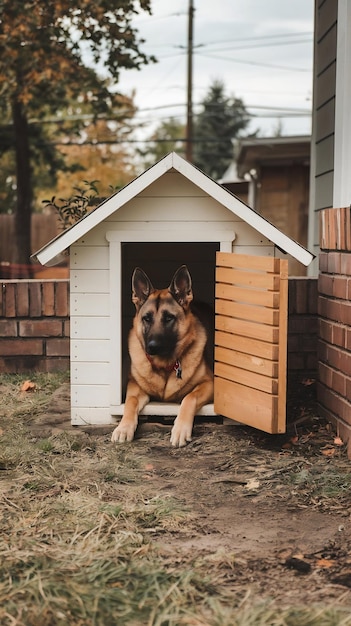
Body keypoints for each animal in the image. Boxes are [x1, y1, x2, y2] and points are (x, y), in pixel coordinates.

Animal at [111, 266, 213, 446]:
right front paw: (123, 427)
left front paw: (181, 429)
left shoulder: (209, 384)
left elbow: (189, 397)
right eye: (147, 318)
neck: (165, 366)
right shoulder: (135, 387)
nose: (152, 347)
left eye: (168, 318)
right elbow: (130, 402)